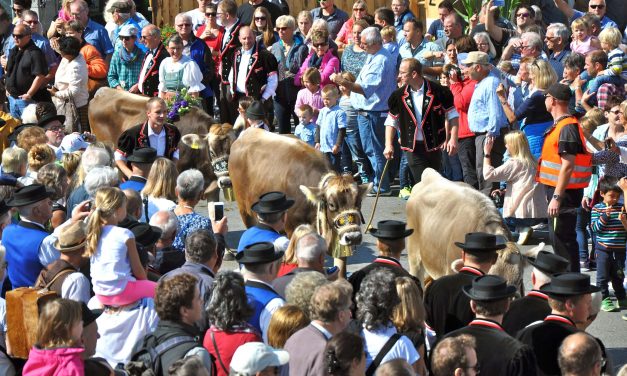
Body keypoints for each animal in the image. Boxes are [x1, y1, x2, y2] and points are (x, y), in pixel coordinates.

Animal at [228, 128, 370, 272]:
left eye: (358, 202)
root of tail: (247, 132)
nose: (354, 237)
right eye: (331, 204)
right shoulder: (292, 227)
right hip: (244, 208)